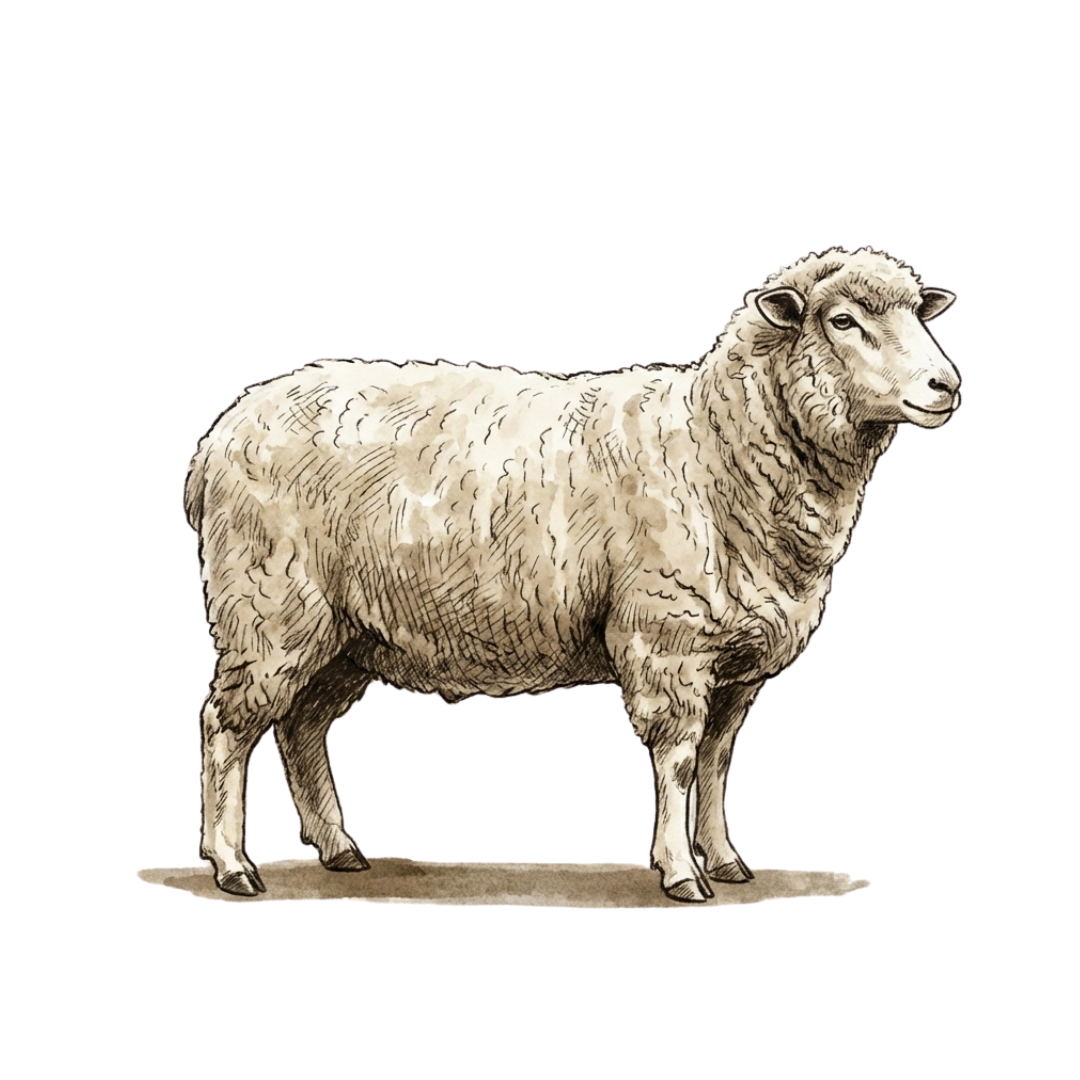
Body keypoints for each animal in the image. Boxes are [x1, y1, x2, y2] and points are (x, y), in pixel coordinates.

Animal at [185, 247, 959, 901]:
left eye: (918, 316)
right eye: (843, 321)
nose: (944, 385)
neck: (717, 445)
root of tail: (220, 435)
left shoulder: (738, 659)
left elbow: (716, 760)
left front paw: (725, 860)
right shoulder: (667, 639)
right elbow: (681, 758)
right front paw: (682, 871)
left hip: (345, 632)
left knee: (302, 726)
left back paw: (339, 849)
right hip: (268, 604)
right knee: (226, 724)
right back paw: (232, 865)